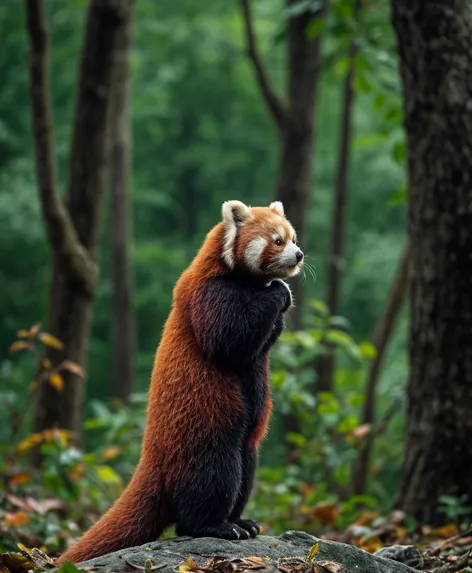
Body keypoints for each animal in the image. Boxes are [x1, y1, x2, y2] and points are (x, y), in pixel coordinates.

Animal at [58, 200, 302, 564]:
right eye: (277, 241)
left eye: (294, 238)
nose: (299, 255)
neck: (239, 277)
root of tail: (152, 457)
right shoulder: (208, 294)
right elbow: (228, 339)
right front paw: (279, 292)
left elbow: (256, 347)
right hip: (202, 427)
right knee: (210, 478)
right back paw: (216, 526)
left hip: (245, 444)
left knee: (246, 466)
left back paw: (241, 521)